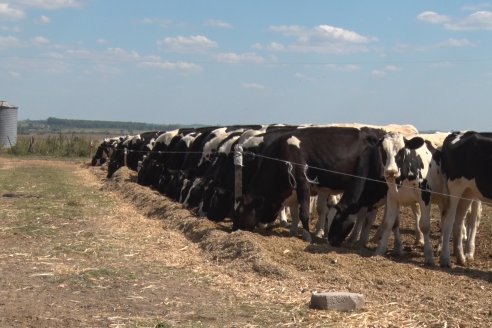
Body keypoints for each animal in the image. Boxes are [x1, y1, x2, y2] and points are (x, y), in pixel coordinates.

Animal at [440, 131, 490, 266]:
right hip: (455, 188)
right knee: (449, 221)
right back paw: (445, 259)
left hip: (468, 191)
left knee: (459, 220)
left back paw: (461, 257)